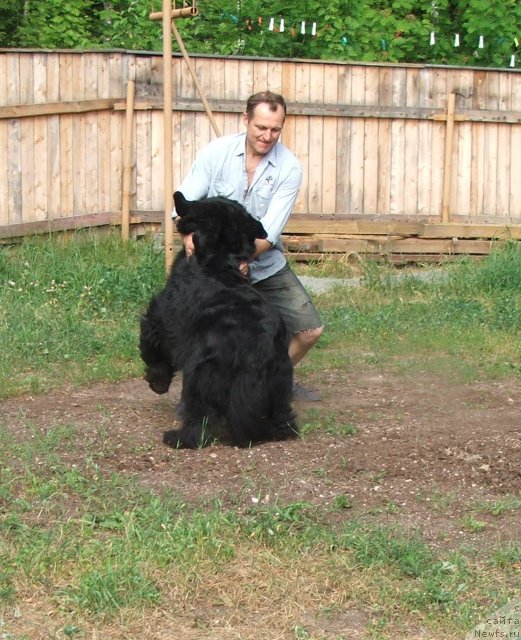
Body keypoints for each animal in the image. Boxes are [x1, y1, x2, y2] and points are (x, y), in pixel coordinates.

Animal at [139, 192, 296, 448]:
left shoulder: (159, 318)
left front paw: (157, 382)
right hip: (281, 377)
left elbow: (154, 348)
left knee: (200, 419)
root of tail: (258, 349)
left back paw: (178, 437)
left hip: (201, 373)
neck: (217, 259)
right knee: (282, 417)